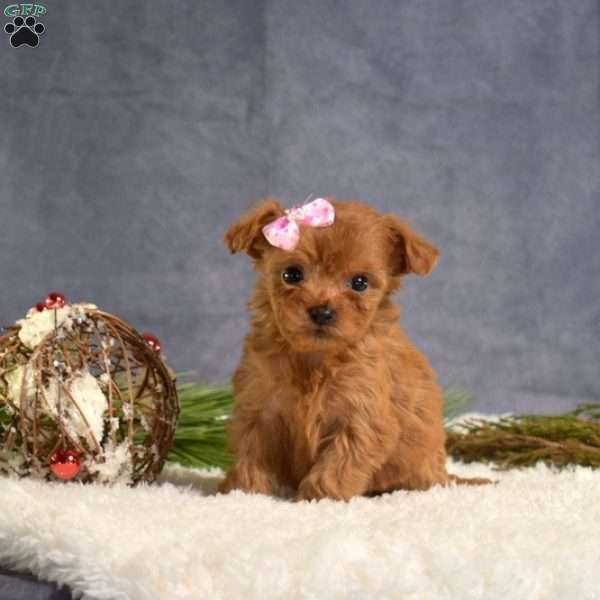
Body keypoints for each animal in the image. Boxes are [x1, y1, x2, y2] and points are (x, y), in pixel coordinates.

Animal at [219, 198, 482, 502]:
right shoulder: (259, 409)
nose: (321, 311)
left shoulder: (361, 419)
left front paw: (317, 497)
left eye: (360, 283)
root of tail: (442, 474)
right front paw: (244, 491)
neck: (314, 359)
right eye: (291, 274)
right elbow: (252, 456)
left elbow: (337, 464)